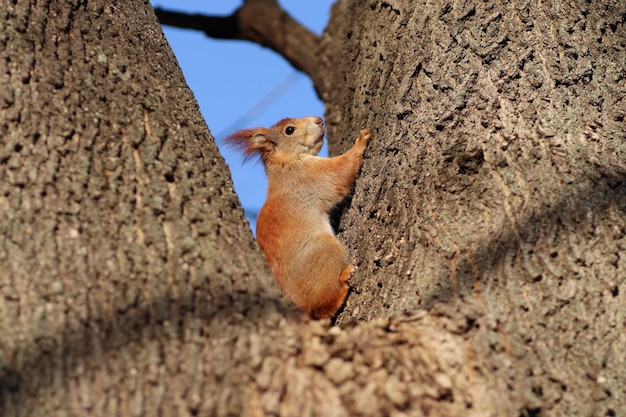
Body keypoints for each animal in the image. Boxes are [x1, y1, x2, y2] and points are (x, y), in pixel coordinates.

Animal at [225, 115, 368, 316]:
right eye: (289, 130)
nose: (319, 120)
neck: (286, 162)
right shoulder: (309, 175)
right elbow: (341, 170)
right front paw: (361, 140)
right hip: (324, 249)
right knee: (323, 306)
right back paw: (344, 282)